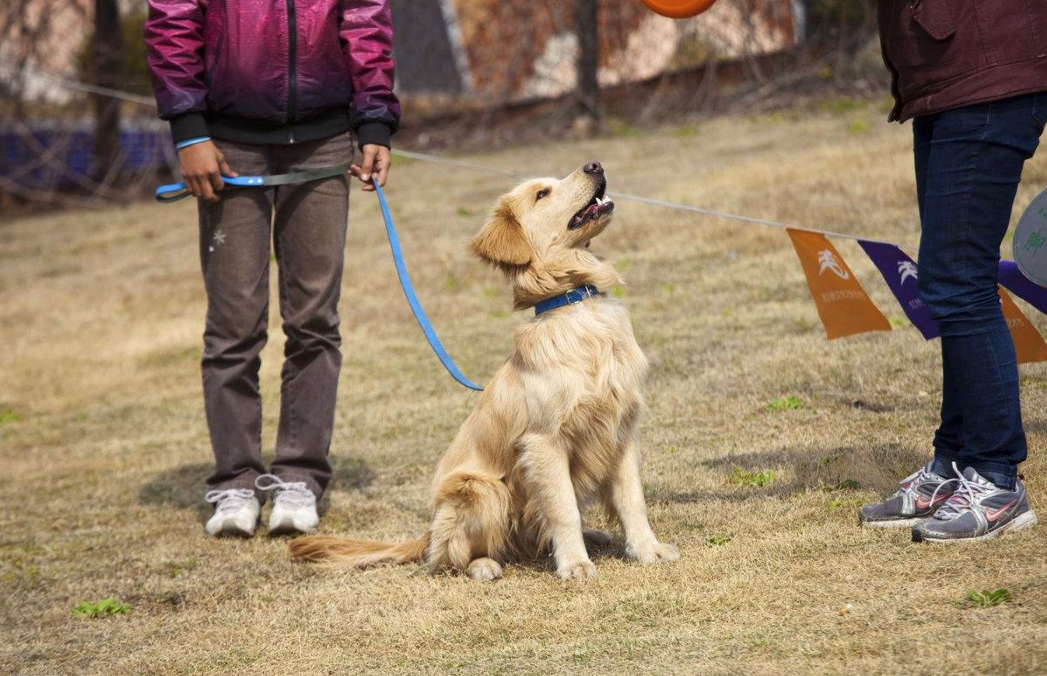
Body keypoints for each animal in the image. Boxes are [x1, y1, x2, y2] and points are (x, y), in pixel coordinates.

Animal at [288, 161, 678, 581]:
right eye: (541, 194)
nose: (594, 164)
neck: (576, 305)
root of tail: (427, 533)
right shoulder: (545, 441)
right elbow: (563, 510)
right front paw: (575, 563)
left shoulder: (621, 428)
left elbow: (632, 499)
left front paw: (648, 549)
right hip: (482, 488)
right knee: (448, 557)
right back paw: (484, 565)